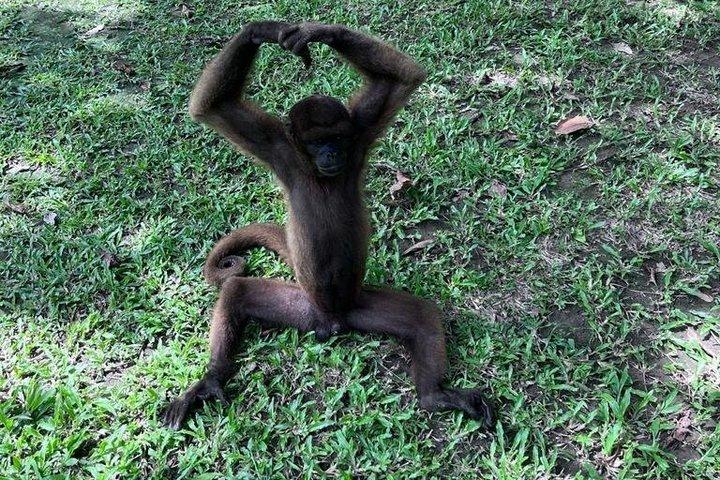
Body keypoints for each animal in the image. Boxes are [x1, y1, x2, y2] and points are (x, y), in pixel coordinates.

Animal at [163, 21, 493, 429]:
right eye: (317, 142)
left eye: (335, 138)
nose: (332, 155)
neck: (319, 174)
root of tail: (333, 319)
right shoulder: (278, 148)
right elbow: (212, 107)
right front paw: (265, 30)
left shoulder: (359, 131)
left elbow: (405, 77)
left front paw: (320, 32)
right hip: (300, 305)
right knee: (236, 290)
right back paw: (210, 380)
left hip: (360, 305)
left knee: (422, 314)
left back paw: (435, 396)